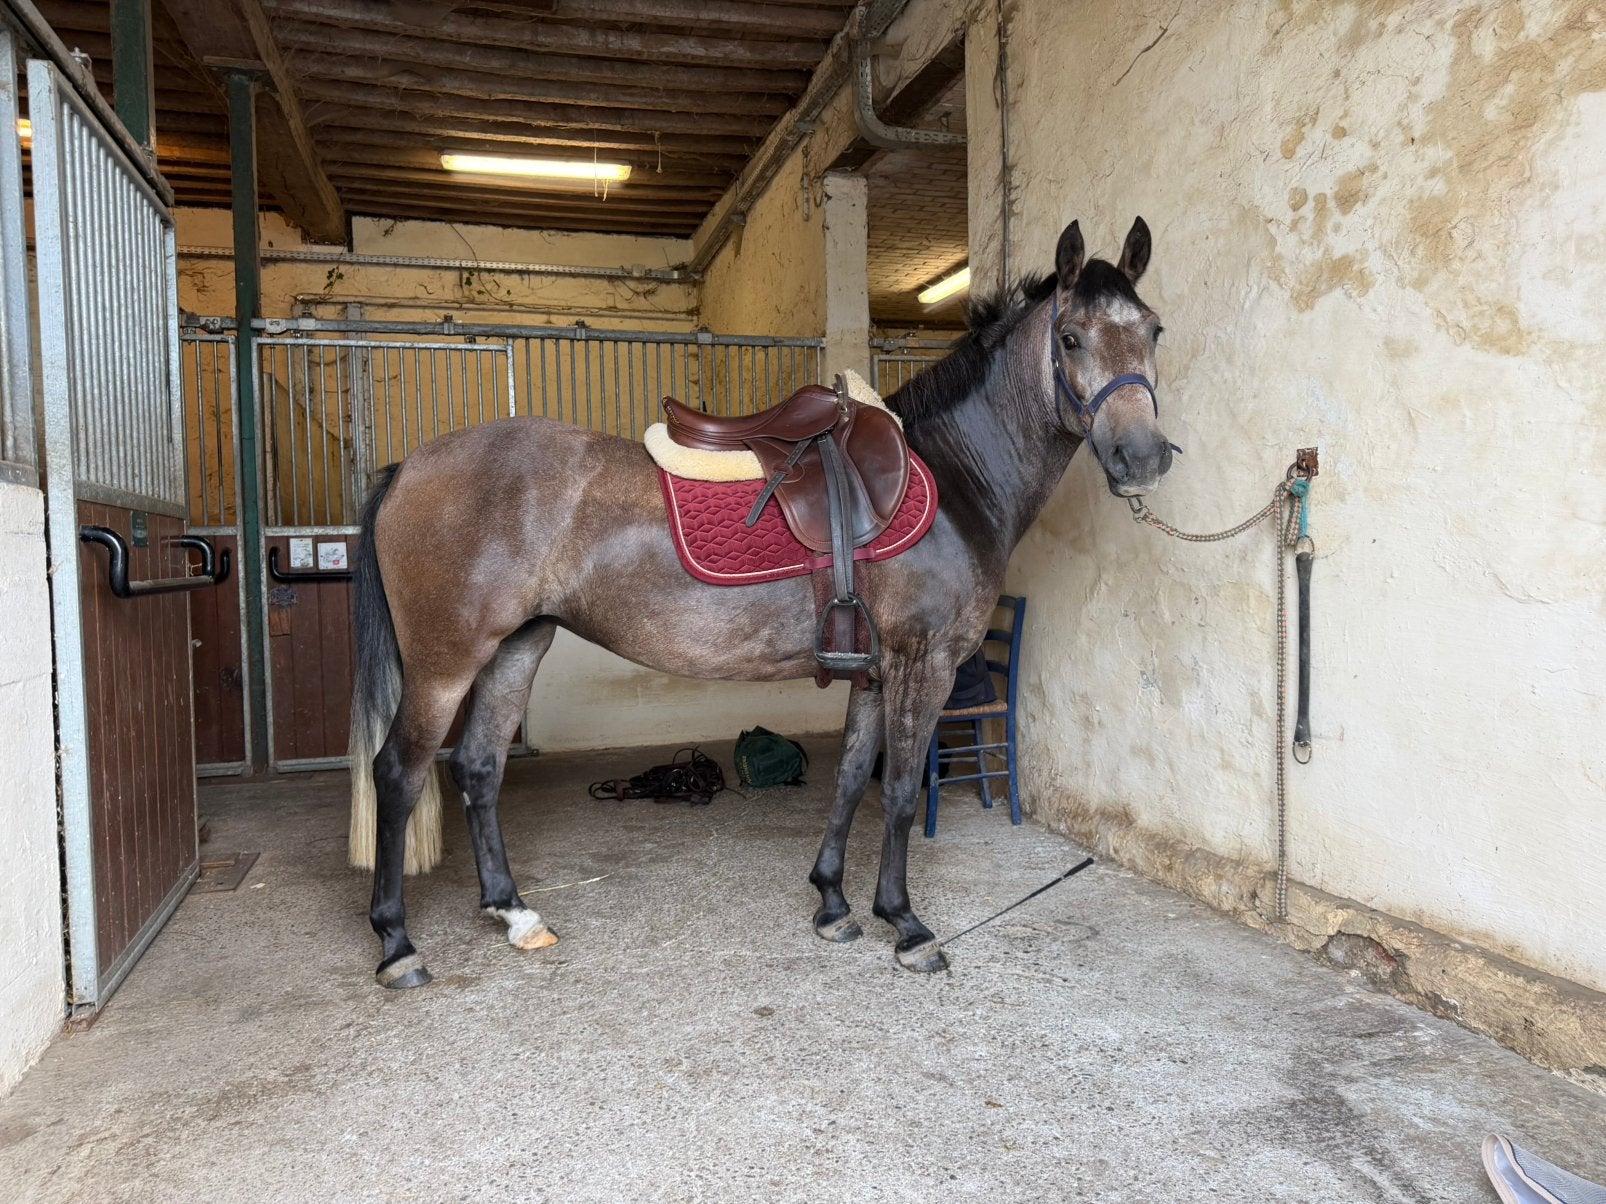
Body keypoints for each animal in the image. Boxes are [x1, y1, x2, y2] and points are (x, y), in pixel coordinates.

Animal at [347, 217, 1174, 989]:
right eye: (1070, 337)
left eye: (1153, 330)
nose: (1142, 458)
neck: (952, 479)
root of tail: (409, 467)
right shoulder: (924, 665)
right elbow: (901, 792)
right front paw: (905, 925)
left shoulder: (876, 672)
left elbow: (851, 778)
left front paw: (834, 904)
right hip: (446, 662)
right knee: (399, 773)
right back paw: (397, 944)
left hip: (516, 647)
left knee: (479, 767)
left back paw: (514, 913)